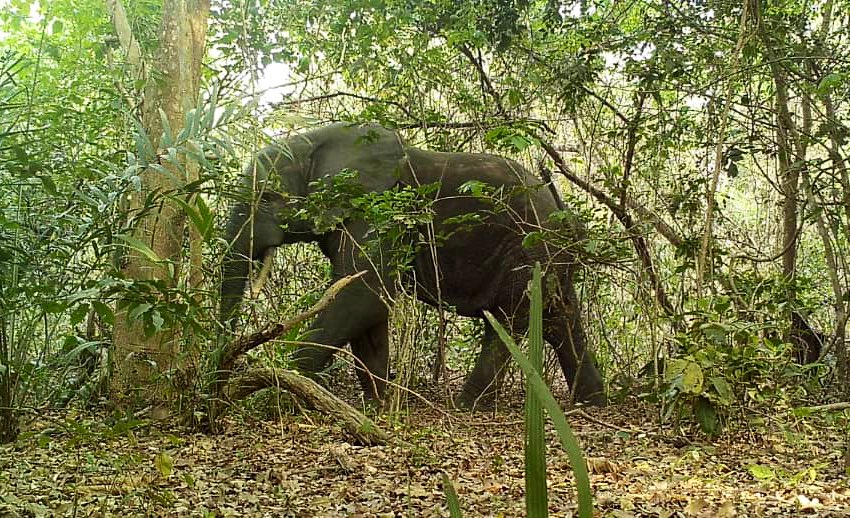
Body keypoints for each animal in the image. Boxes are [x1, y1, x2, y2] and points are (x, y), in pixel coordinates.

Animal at [220, 123, 606, 408]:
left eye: (267, 199)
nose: (221, 395)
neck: (318, 140)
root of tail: (568, 215)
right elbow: (367, 307)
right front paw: (377, 406)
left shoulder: (380, 211)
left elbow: (364, 296)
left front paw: (275, 395)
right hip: (549, 255)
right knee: (560, 318)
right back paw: (590, 403)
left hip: (530, 249)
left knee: (509, 320)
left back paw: (467, 406)